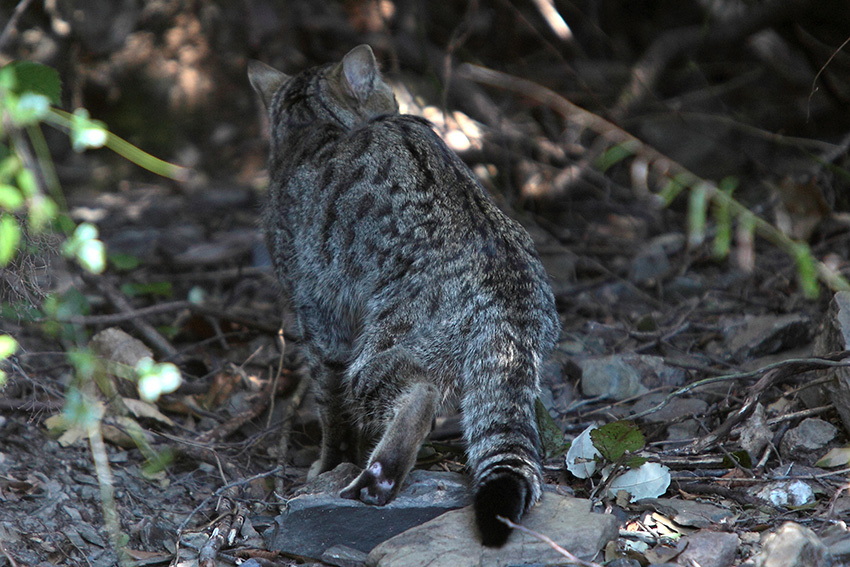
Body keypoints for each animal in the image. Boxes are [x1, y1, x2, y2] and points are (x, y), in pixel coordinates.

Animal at [248, 44, 560, 544]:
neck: (312, 126)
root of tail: (508, 296)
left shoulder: (319, 315)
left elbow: (330, 409)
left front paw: (329, 464)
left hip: (378, 351)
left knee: (419, 396)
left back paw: (379, 476)